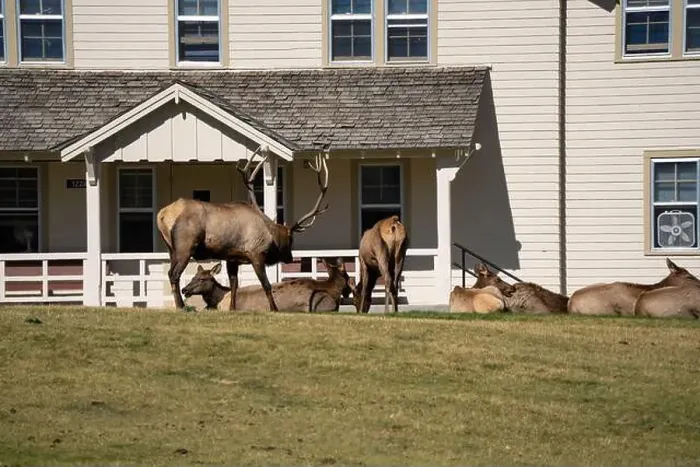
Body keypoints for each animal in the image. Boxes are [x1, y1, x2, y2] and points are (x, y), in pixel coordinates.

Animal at [157, 150, 329, 312]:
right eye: (290, 238)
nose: (290, 258)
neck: (270, 234)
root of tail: (162, 214)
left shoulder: (232, 257)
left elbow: (234, 285)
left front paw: (232, 308)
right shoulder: (256, 253)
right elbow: (266, 284)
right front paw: (274, 309)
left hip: (170, 248)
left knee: (170, 272)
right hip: (185, 246)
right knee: (174, 274)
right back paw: (181, 306)